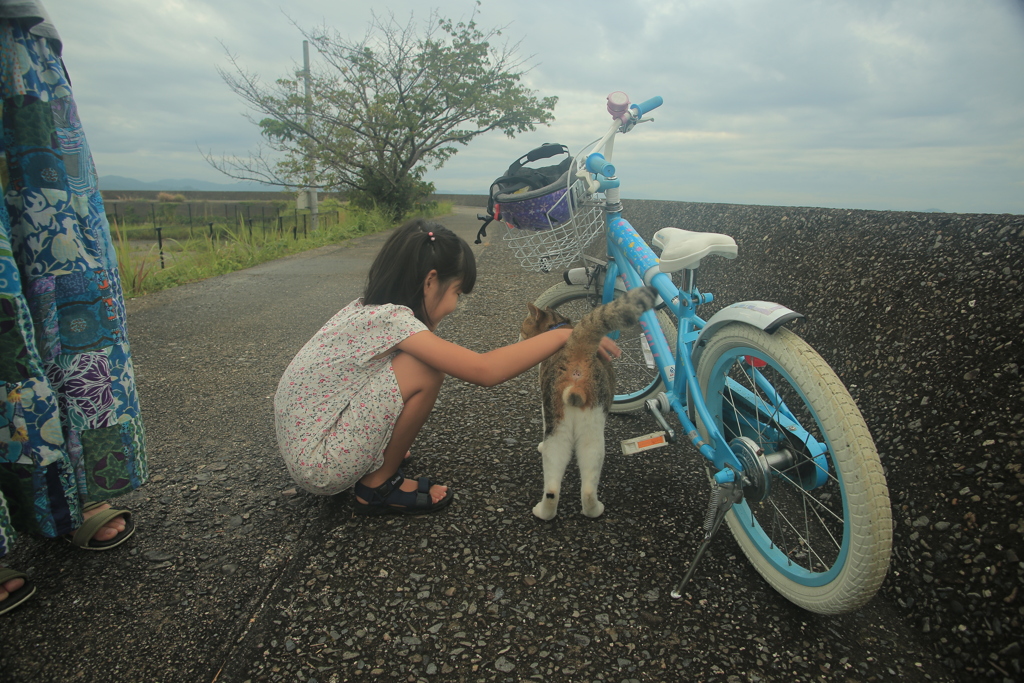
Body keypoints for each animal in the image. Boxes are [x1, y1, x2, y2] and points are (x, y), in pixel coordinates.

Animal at [520, 286, 655, 520]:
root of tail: (578, 352)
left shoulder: (545, 408)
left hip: (559, 422)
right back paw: (588, 510)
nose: (518, 339)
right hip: (592, 426)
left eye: (522, 328)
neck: (559, 326)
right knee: (580, 485)